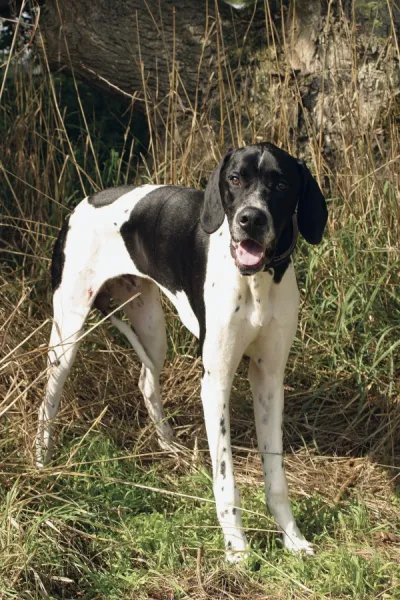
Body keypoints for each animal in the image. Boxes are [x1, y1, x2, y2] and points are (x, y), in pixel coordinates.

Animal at [36, 142, 326, 564]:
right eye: (235, 178)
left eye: (282, 183)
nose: (250, 219)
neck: (255, 280)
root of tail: (79, 207)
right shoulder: (216, 383)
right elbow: (226, 479)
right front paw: (237, 549)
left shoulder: (270, 379)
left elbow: (276, 477)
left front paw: (293, 539)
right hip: (67, 334)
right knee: (48, 399)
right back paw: (42, 463)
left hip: (152, 332)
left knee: (145, 379)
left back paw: (168, 443)